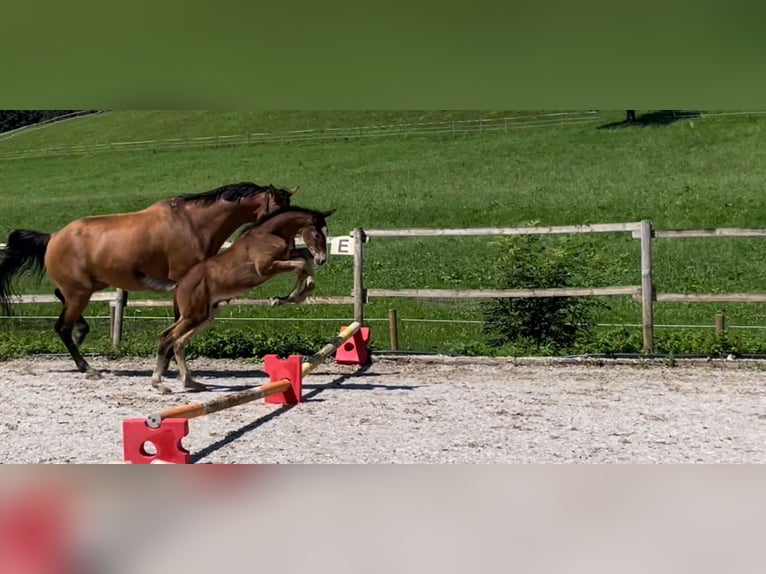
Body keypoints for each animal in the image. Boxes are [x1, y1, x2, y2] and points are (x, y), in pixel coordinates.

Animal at [0, 182, 296, 376]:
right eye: (276, 210)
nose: (287, 247)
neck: (193, 224)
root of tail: (52, 238)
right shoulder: (182, 282)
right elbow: (178, 321)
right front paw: (170, 361)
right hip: (80, 293)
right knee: (62, 326)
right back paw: (87, 367)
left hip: (87, 288)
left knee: (61, 305)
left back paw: (82, 336)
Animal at [152, 207, 334, 396]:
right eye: (317, 234)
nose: (322, 259)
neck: (269, 234)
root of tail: (179, 285)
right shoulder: (265, 267)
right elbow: (301, 265)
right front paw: (289, 297)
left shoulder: (286, 256)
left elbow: (305, 258)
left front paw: (294, 295)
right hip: (194, 315)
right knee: (167, 337)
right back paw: (159, 384)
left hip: (204, 316)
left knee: (178, 342)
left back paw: (190, 382)